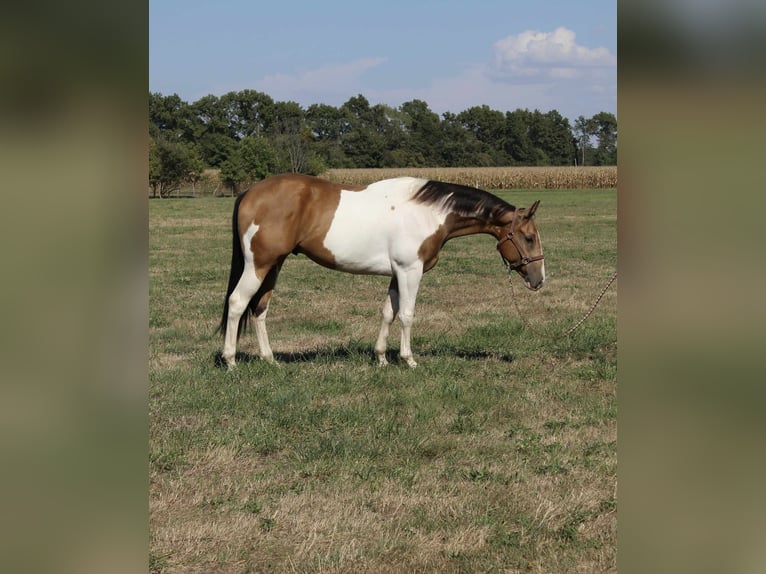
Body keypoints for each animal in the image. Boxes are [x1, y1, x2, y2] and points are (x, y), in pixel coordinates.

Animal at [219, 173, 545, 369]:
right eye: (529, 238)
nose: (539, 280)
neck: (428, 212)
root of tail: (250, 191)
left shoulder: (396, 273)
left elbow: (388, 312)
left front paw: (382, 358)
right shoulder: (410, 271)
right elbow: (407, 315)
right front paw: (408, 359)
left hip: (273, 265)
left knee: (259, 308)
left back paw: (270, 359)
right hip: (259, 265)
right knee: (237, 303)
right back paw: (231, 360)